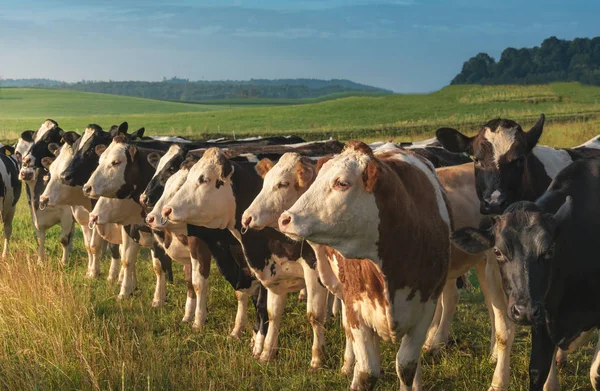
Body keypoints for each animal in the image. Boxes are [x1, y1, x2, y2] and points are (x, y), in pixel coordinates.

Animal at [278, 142, 452, 390]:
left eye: (342, 183)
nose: (285, 219)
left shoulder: (426, 308)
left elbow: (406, 366)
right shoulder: (357, 310)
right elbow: (366, 372)